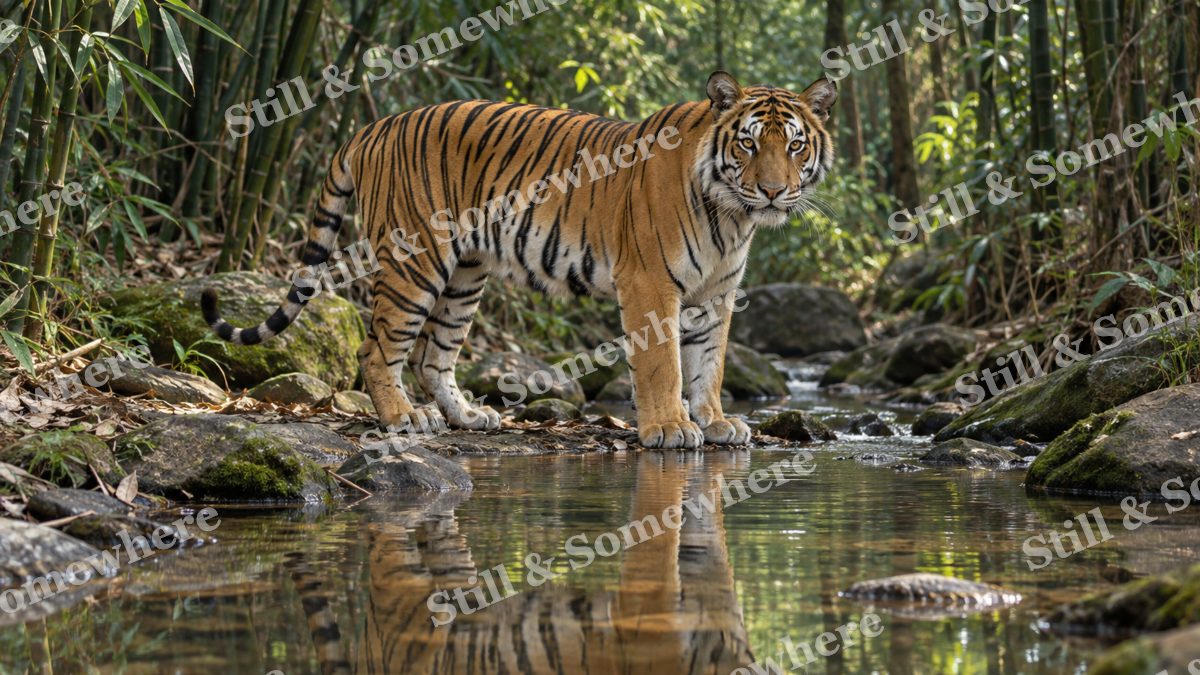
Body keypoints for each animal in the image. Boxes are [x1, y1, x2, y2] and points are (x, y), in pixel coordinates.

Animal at [202, 71, 837, 449]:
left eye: (795, 145)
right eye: (748, 143)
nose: (774, 191)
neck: (732, 216)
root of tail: (374, 125)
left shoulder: (716, 293)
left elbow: (709, 363)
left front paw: (715, 421)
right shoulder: (651, 284)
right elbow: (663, 365)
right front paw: (669, 428)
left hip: (465, 274)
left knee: (434, 356)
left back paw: (467, 417)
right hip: (415, 262)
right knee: (376, 347)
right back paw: (403, 418)